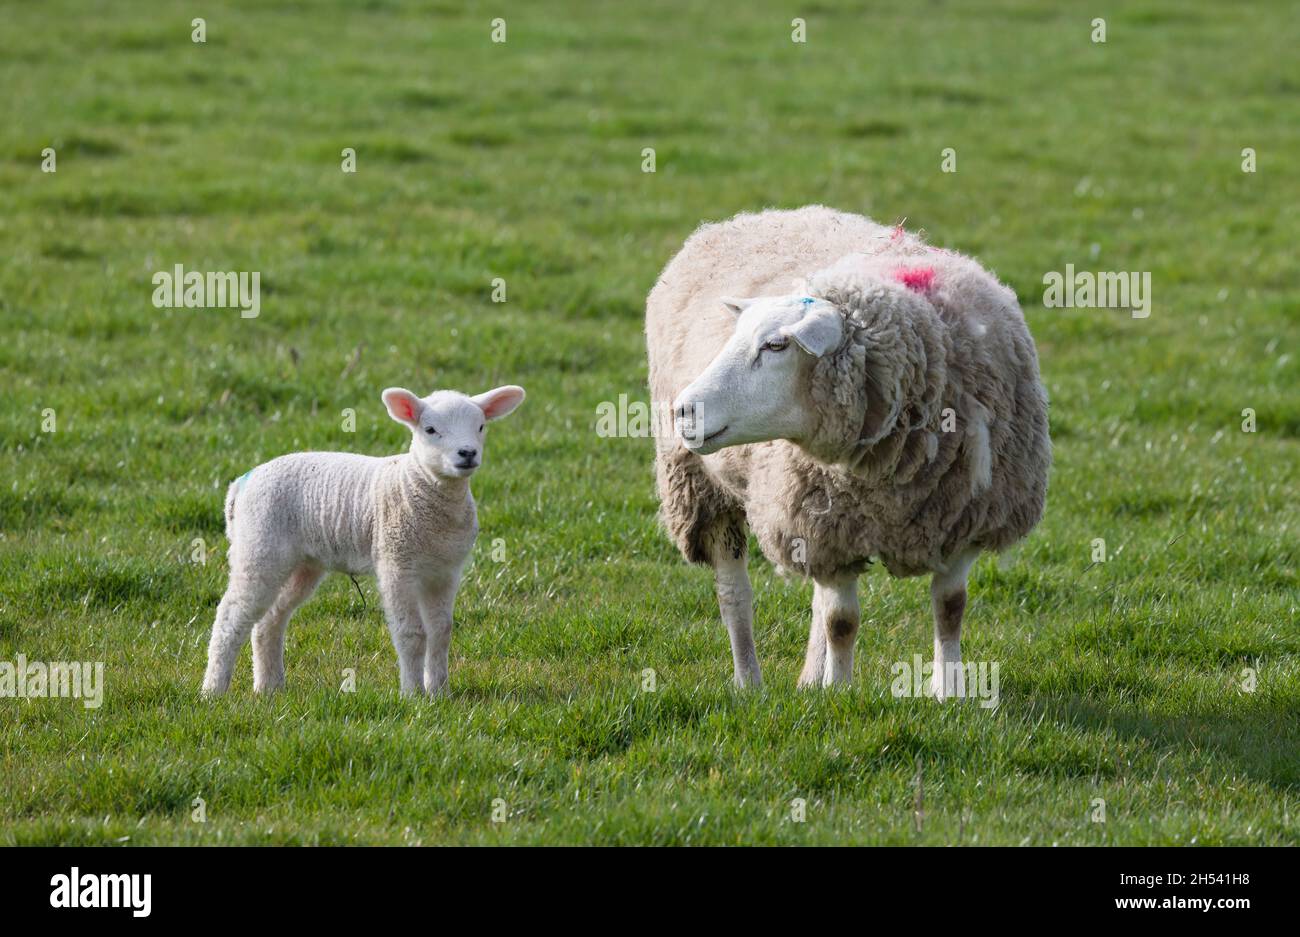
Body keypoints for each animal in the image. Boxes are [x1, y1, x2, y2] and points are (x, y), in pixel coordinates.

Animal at [201, 383, 526, 698]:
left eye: (481, 426)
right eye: (430, 430)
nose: (467, 453)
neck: (416, 483)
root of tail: (240, 484)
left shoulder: (445, 571)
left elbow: (441, 631)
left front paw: (440, 692)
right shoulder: (396, 563)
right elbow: (411, 633)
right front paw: (414, 695)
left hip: (302, 564)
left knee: (269, 620)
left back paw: (269, 687)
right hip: (258, 546)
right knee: (230, 617)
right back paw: (213, 690)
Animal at [646, 205, 1050, 697]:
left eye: (776, 344)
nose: (684, 410)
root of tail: (753, 216)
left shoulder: (963, 517)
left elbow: (950, 606)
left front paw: (948, 692)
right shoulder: (827, 531)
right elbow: (842, 621)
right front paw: (840, 693)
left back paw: (807, 678)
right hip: (703, 487)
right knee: (734, 593)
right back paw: (749, 683)